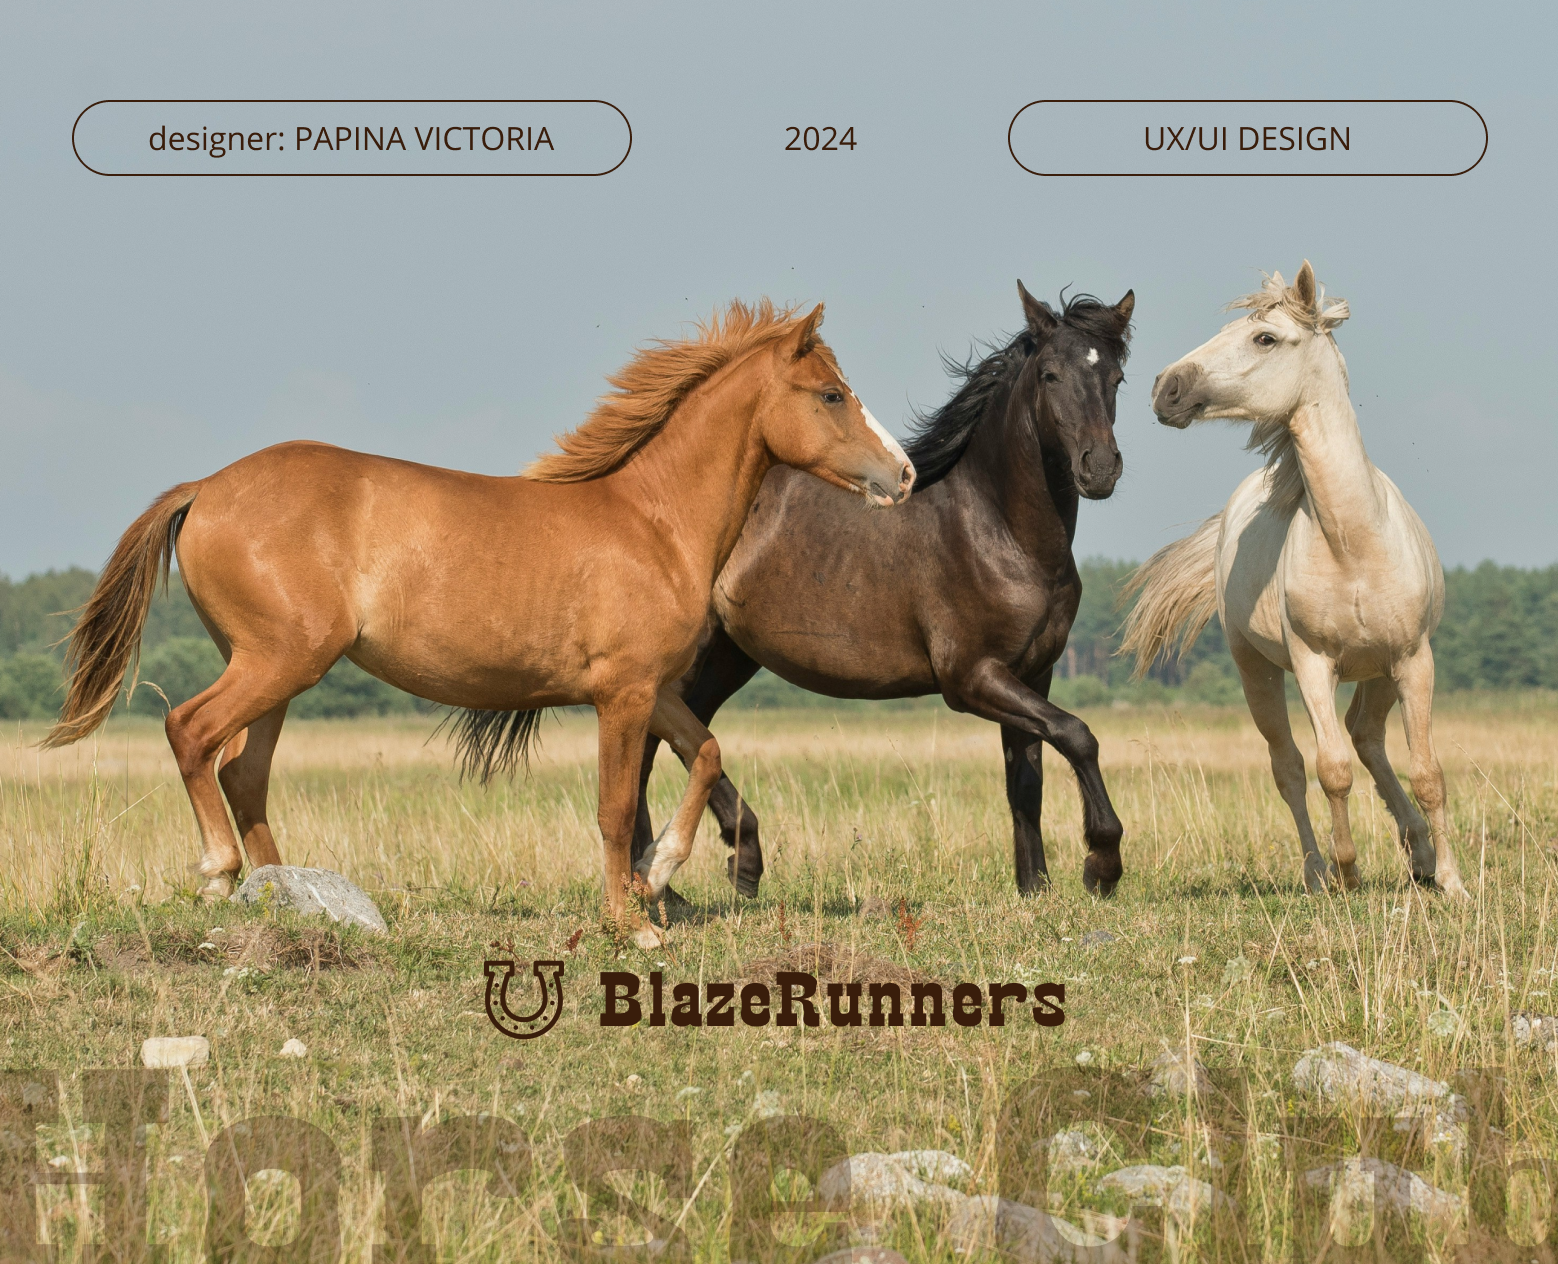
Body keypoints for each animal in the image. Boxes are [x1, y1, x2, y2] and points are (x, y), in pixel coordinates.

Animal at [46, 300, 915, 947]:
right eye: (831, 394)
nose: (903, 474)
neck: (653, 522)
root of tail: (207, 487)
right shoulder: (622, 695)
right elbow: (612, 807)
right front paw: (631, 922)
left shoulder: (653, 688)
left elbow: (705, 755)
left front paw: (659, 873)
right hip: (277, 661)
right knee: (191, 733)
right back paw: (221, 876)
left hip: (279, 671)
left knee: (242, 772)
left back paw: (287, 893)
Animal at [628, 283, 1136, 900]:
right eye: (1050, 375)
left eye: (1116, 378)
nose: (1100, 468)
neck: (999, 531)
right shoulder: (971, 678)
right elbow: (1077, 734)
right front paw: (1101, 864)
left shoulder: (1032, 674)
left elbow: (1026, 781)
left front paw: (1034, 888)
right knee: (646, 748)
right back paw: (665, 882)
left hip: (729, 656)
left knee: (686, 736)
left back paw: (728, 864)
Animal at [1122, 262, 1469, 900]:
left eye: (1265, 338)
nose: (1166, 387)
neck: (1354, 543)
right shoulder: (1312, 664)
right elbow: (1330, 770)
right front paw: (1348, 871)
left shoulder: (1414, 659)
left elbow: (1428, 771)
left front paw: (1453, 883)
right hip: (1255, 669)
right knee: (1291, 766)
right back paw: (1317, 871)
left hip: (1380, 671)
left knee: (1367, 737)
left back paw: (1421, 854)